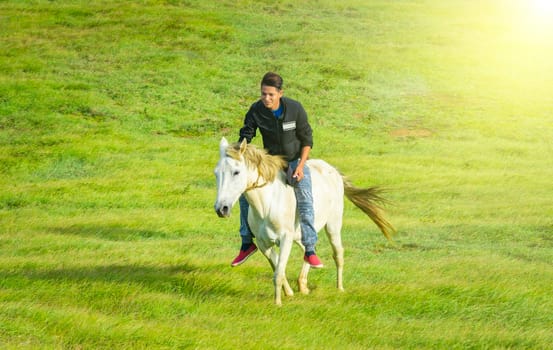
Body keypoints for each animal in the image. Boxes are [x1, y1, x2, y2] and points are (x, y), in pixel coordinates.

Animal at [212, 138, 392, 304]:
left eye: (236, 172)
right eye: (216, 173)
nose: (221, 209)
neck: (268, 204)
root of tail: (333, 170)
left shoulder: (285, 239)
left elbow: (278, 273)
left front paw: (278, 303)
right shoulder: (264, 244)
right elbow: (278, 268)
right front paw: (289, 293)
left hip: (333, 226)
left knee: (337, 254)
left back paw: (340, 288)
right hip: (301, 235)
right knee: (309, 249)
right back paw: (303, 284)